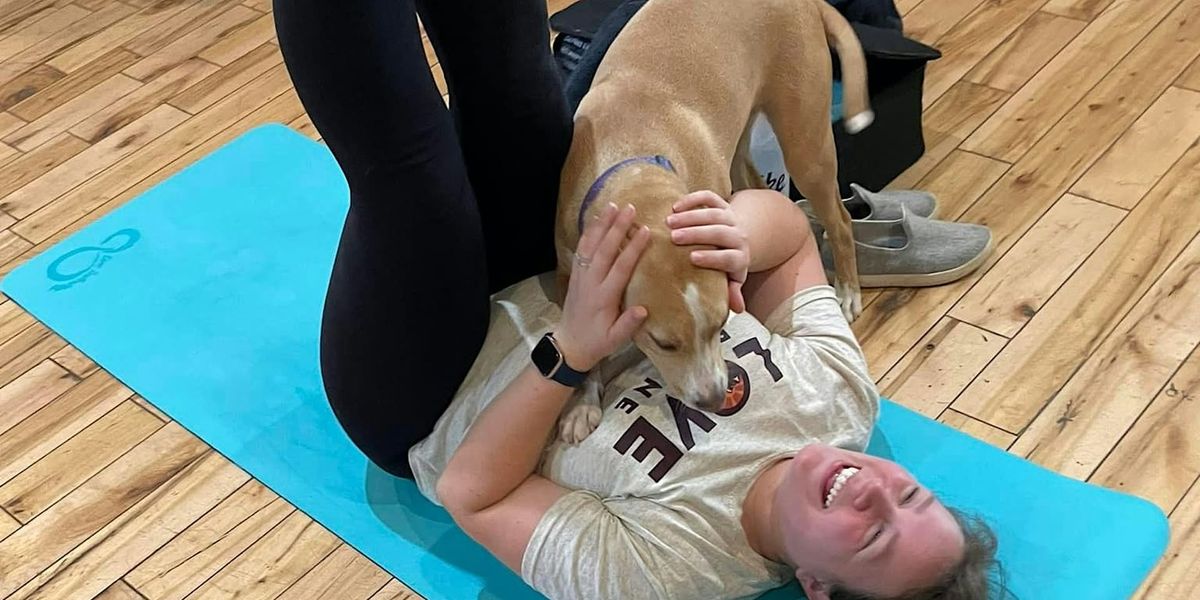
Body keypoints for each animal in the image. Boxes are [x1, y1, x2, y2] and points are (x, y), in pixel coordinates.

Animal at [552, 0, 873, 439]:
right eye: (664, 343)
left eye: (722, 323)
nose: (715, 398)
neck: (632, 168)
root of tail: (807, 4)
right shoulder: (572, 275)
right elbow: (581, 338)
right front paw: (581, 401)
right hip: (741, 140)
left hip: (806, 144)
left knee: (839, 220)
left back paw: (848, 290)